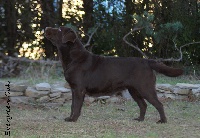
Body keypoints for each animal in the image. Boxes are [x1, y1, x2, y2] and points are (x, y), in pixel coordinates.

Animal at [45, 26, 183, 123]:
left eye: (59, 29)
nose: (45, 28)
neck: (73, 58)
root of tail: (147, 61)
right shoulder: (74, 89)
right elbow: (73, 105)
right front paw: (70, 118)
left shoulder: (79, 89)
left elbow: (76, 106)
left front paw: (73, 119)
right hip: (134, 90)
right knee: (143, 105)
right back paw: (140, 119)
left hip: (145, 88)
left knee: (159, 104)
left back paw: (162, 121)